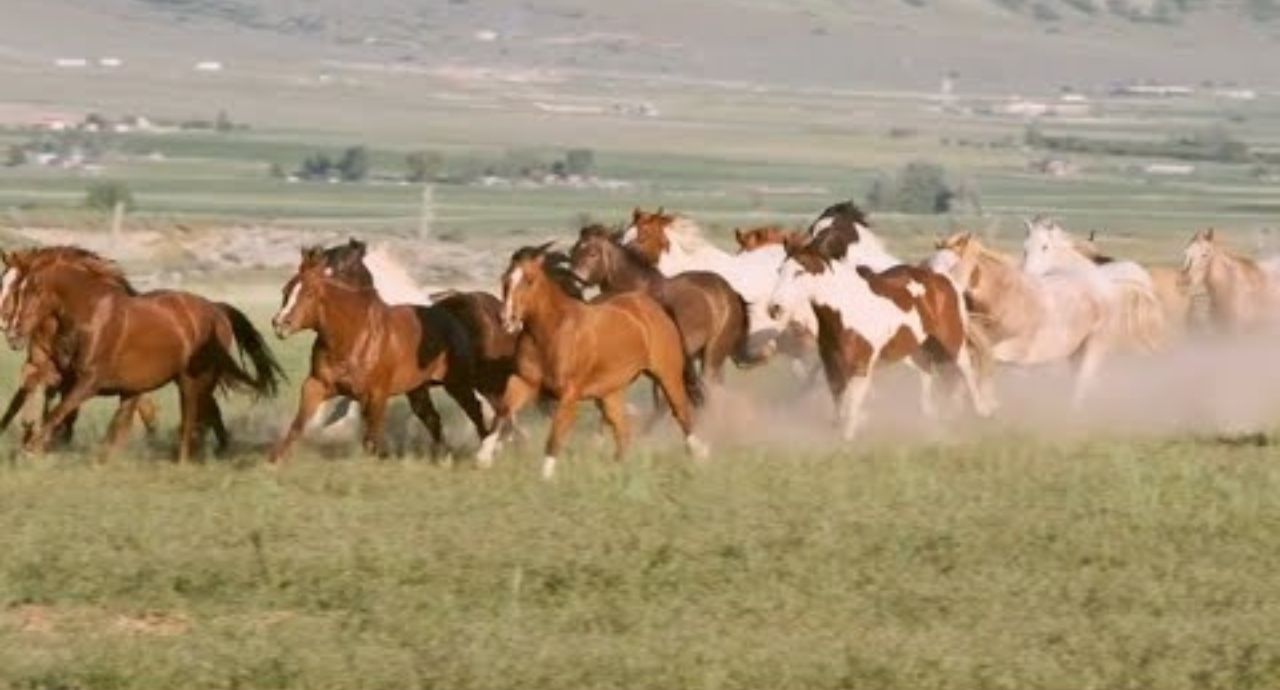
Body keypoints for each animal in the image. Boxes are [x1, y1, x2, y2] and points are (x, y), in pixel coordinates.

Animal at [2, 245, 282, 460]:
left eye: (30, 290)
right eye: (18, 289)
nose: (13, 331)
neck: (91, 314)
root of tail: (216, 309)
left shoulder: (90, 381)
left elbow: (60, 410)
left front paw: (32, 447)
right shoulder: (65, 375)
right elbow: (38, 389)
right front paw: (34, 436)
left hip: (193, 381)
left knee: (194, 418)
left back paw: (189, 457)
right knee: (206, 413)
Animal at [267, 244, 491, 463]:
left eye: (310, 293)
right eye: (285, 290)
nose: (280, 324)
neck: (354, 336)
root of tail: (451, 317)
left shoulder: (376, 394)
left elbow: (371, 437)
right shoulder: (317, 384)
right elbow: (300, 423)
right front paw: (275, 460)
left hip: (457, 383)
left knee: (476, 410)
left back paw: (484, 453)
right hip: (418, 389)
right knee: (432, 418)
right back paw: (446, 457)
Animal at [496, 244, 711, 481]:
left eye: (529, 280)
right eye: (505, 279)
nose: (506, 319)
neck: (552, 331)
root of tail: (653, 306)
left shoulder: (569, 395)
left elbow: (555, 437)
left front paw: (545, 479)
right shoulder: (524, 381)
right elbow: (503, 410)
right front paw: (484, 458)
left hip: (667, 375)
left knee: (680, 411)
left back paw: (698, 452)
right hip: (611, 393)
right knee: (623, 430)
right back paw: (616, 469)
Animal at [757, 240, 988, 440]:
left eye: (799, 271)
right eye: (779, 270)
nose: (774, 308)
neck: (847, 310)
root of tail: (945, 280)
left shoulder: (861, 367)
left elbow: (853, 402)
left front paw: (848, 436)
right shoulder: (832, 365)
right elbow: (838, 399)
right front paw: (836, 429)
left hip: (952, 340)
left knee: (965, 370)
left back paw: (981, 411)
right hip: (916, 348)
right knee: (926, 372)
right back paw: (928, 416)